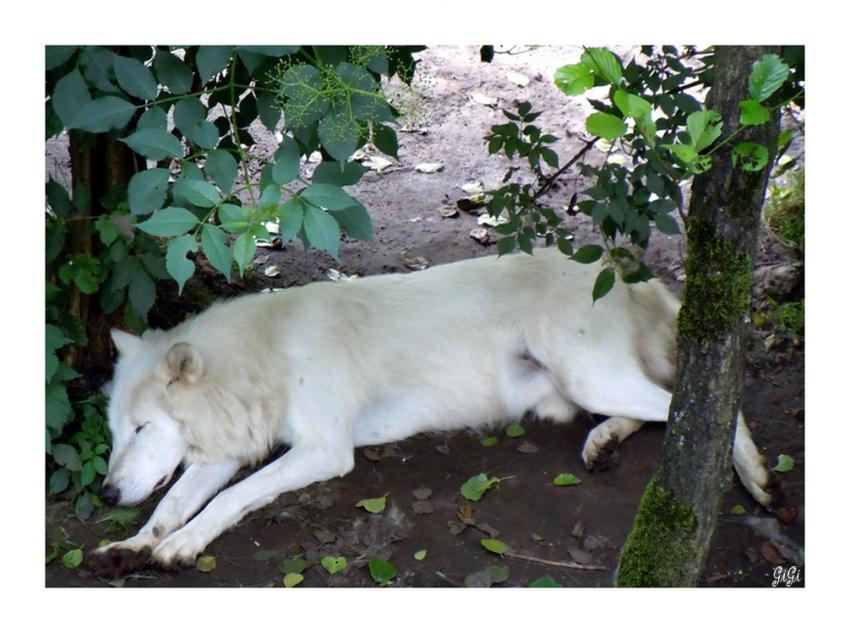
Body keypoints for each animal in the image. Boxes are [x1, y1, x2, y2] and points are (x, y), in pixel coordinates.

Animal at [92, 249, 775, 573]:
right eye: (117, 432)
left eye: (143, 427)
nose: (104, 494)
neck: (263, 358)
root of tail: (623, 271)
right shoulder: (226, 451)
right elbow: (171, 503)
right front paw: (133, 543)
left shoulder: (323, 451)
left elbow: (229, 500)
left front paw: (180, 547)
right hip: (579, 391)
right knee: (660, 411)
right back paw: (604, 443)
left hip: (588, 376)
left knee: (699, 404)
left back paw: (755, 477)